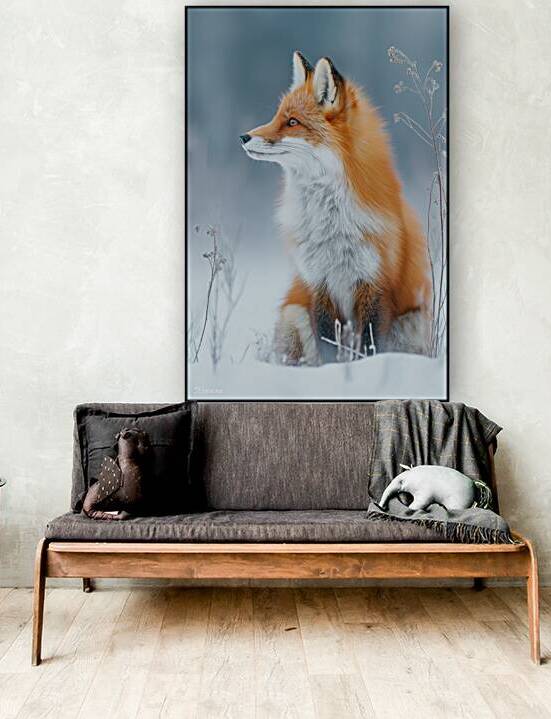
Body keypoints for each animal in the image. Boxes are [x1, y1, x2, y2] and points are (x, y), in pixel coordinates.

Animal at [240, 51, 432, 365]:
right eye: (277, 116)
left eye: (292, 122)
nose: (243, 137)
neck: (331, 223)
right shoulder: (319, 283)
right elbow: (328, 343)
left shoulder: (374, 285)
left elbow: (369, 345)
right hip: (294, 312)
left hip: (414, 322)